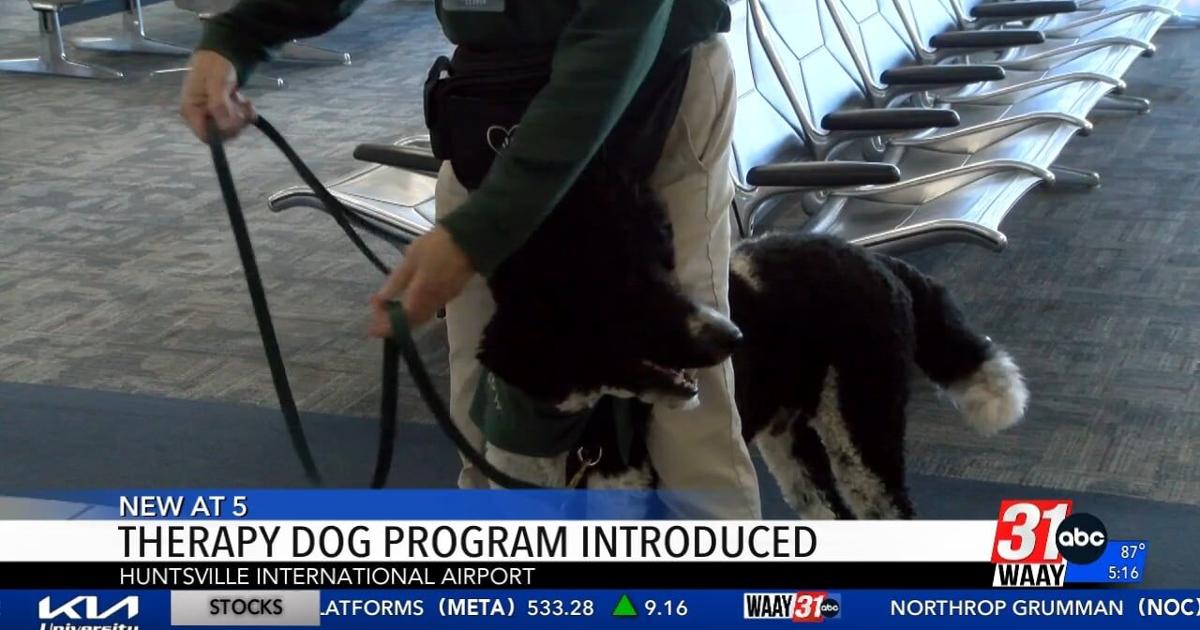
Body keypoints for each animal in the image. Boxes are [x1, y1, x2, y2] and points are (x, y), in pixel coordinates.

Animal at [472, 164, 1027, 518]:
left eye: (666, 273)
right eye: (626, 295)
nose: (731, 336)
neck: (566, 430)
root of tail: (877, 259)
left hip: (861, 429)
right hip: (792, 438)